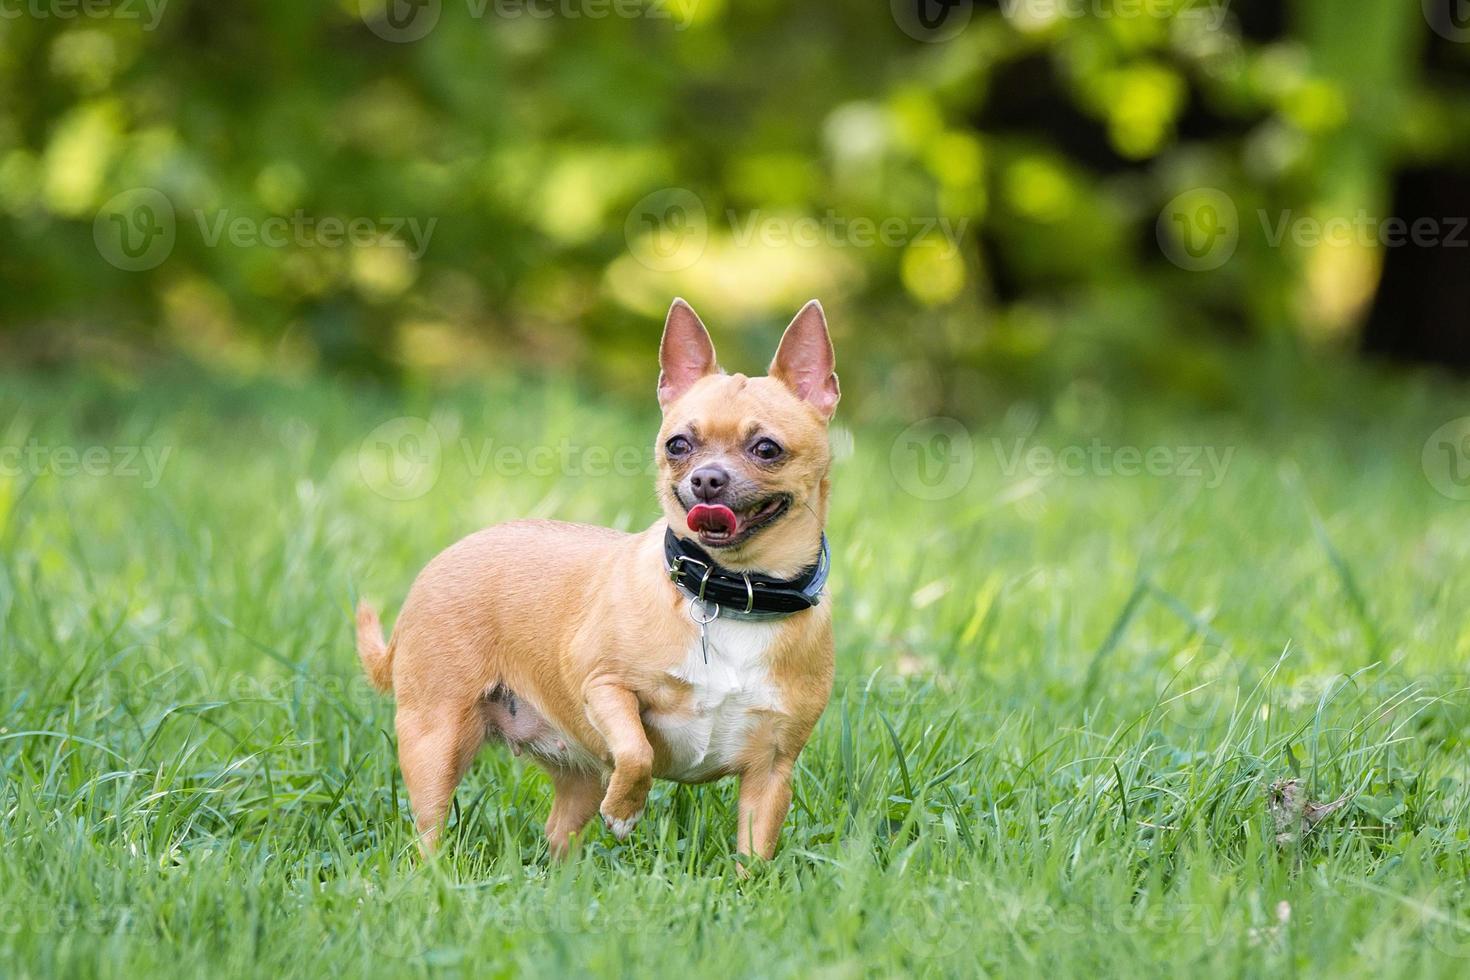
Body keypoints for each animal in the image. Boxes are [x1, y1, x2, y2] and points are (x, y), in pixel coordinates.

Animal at [355, 296, 840, 858]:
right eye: (677, 445)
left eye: (766, 449)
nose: (706, 478)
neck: (731, 592)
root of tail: (440, 561)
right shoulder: (604, 687)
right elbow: (635, 750)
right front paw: (626, 810)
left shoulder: (772, 773)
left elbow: (754, 853)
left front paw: (749, 880)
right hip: (436, 742)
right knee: (429, 832)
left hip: (576, 775)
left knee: (558, 834)